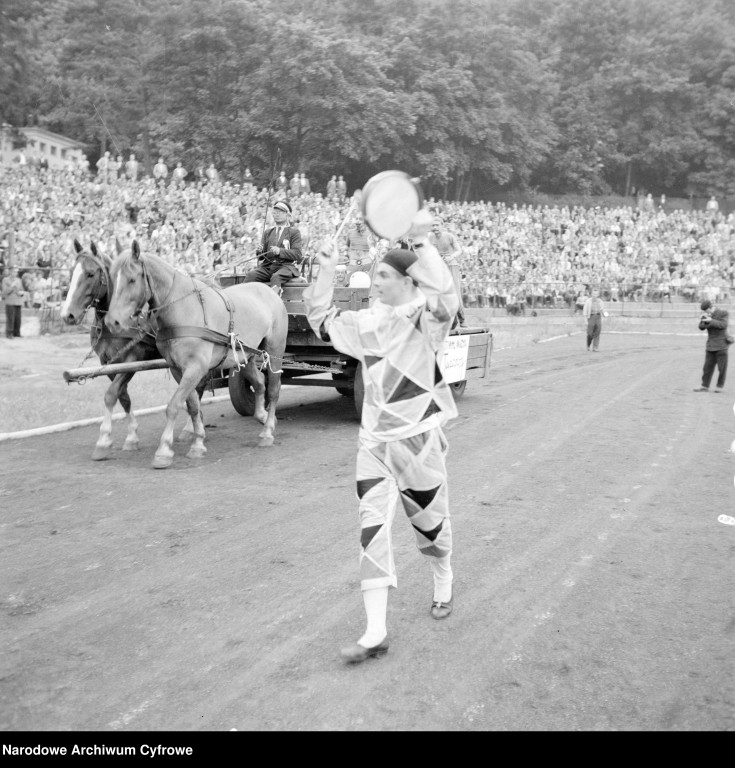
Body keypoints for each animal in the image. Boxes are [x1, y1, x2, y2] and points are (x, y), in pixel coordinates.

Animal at [105, 242, 288, 468]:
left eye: (131, 279)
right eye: (112, 279)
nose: (112, 322)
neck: (182, 308)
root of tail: (270, 290)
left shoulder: (195, 368)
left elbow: (173, 405)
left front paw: (164, 450)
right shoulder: (178, 369)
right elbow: (192, 405)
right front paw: (197, 442)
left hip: (275, 350)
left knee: (273, 389)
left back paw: (267, 431)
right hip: (246, 356)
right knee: (260, 382)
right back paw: (261, 414)